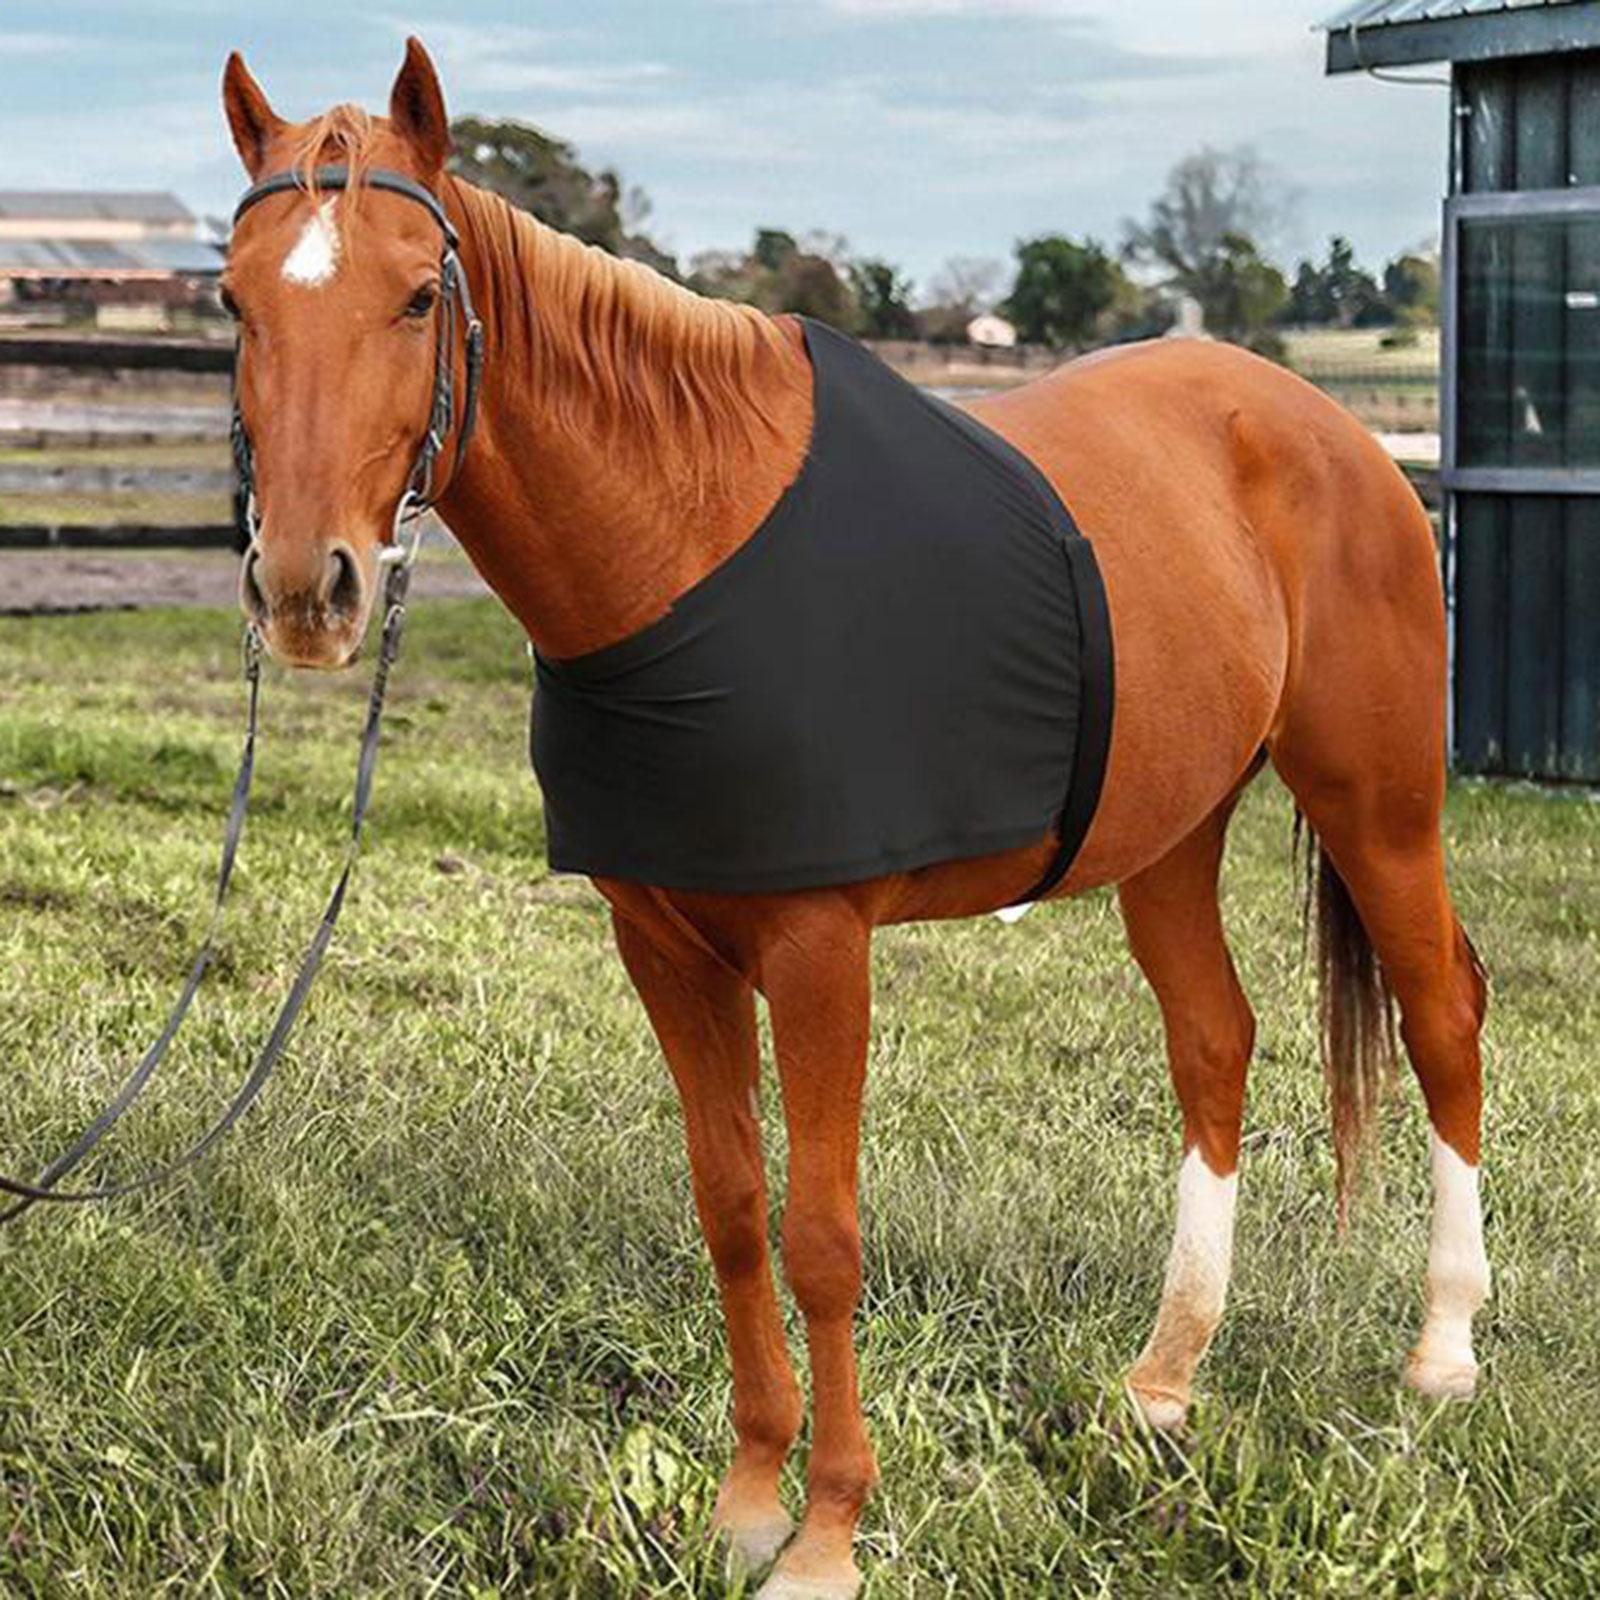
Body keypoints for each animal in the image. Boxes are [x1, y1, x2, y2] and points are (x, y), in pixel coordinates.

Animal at [220, 40, 1489, 1600]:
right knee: (1216, 1042)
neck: (688, 539)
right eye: (236, 299)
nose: (307, 589)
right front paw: (744, 1500)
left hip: (1380, 809)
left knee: (1441, 1017)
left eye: (414, 295)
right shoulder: (665, 950)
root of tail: (1337, 436)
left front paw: (825, 1531)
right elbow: (731, 1211)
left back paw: (1441, 1353)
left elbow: (822, 1234)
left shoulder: (822, 951)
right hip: (1170, 839)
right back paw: (1162, 1381)